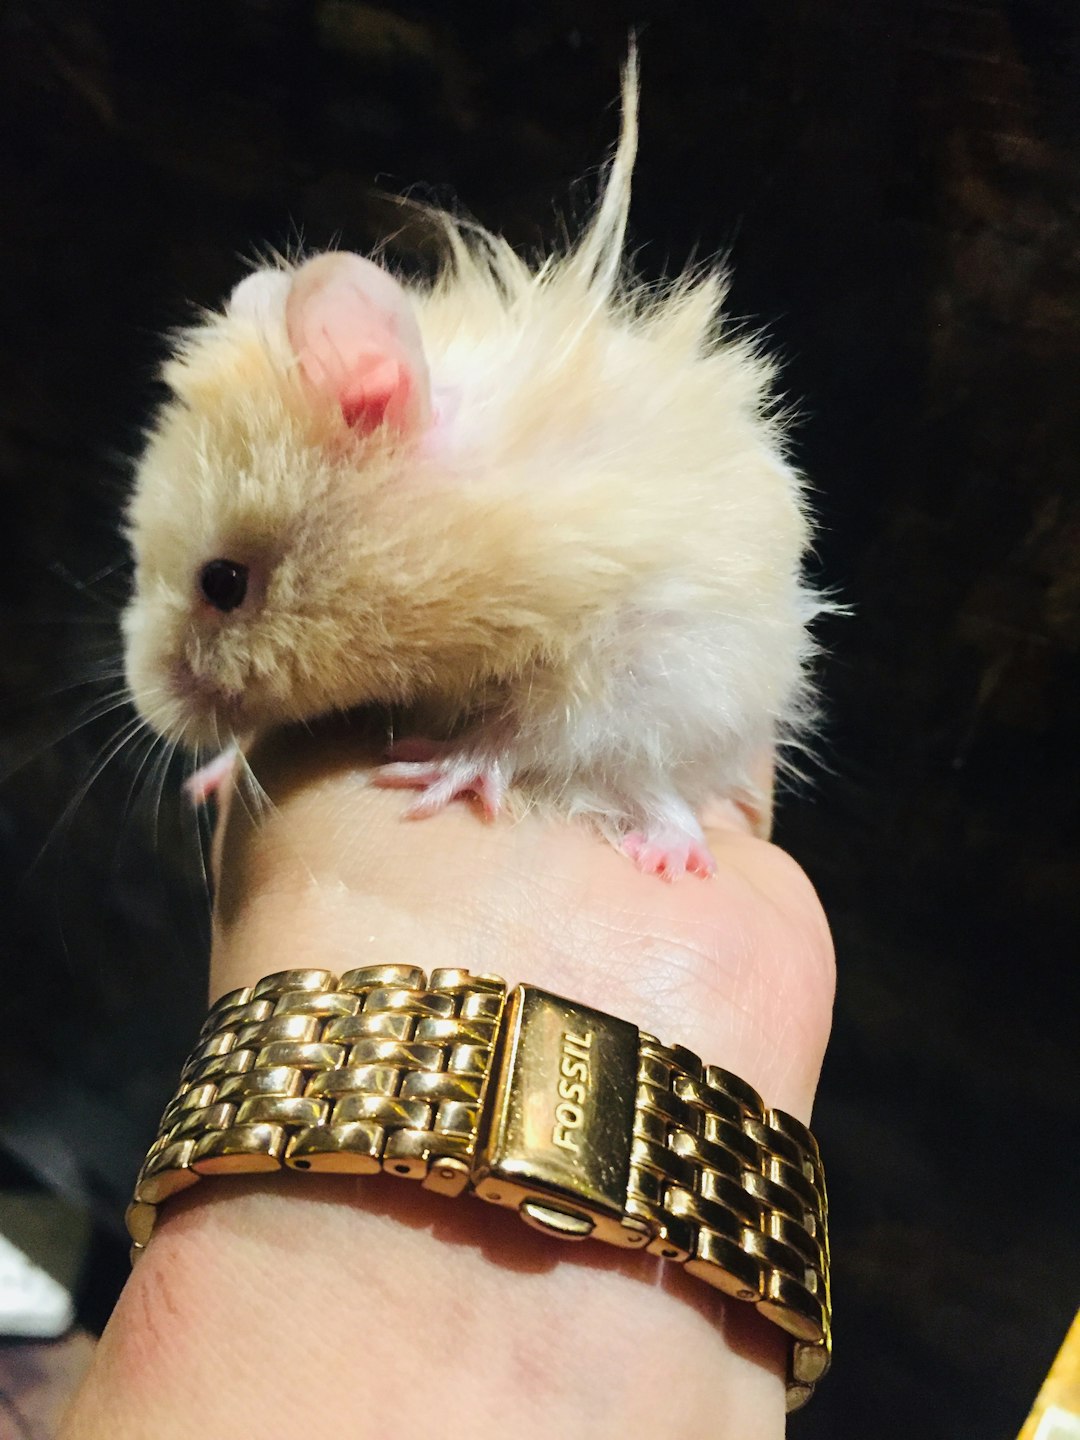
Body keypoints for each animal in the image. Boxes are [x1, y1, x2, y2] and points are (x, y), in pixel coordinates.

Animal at [122, 60, 823, 880]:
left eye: (223, 583)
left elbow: (535, 731)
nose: (151, 711)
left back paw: (669, 854)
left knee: (653, 786)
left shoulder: (643, 648)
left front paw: (431, 774)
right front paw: (217, 772)